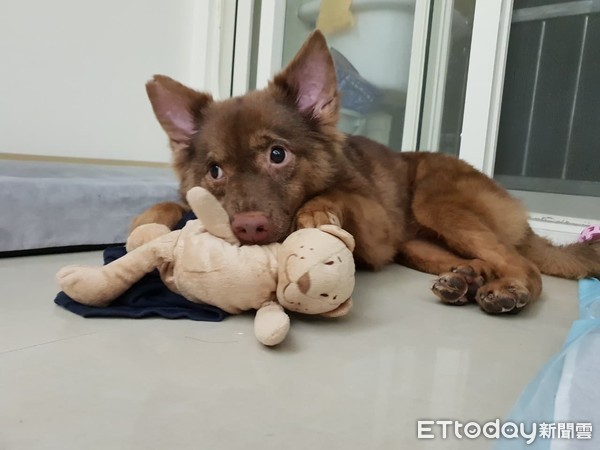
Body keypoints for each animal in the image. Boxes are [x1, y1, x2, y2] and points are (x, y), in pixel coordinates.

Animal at [135, 31, 600, 314]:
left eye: (277, 155)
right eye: (214, 171)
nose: (248, 228)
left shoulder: (377, 231)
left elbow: (338, 197)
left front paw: (317, 210)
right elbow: (165, 207)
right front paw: (146, 223)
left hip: (434, 202)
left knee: (523, 264)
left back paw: (509, 289)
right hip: (416, 245)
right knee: (481, 259)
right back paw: (465, 280)